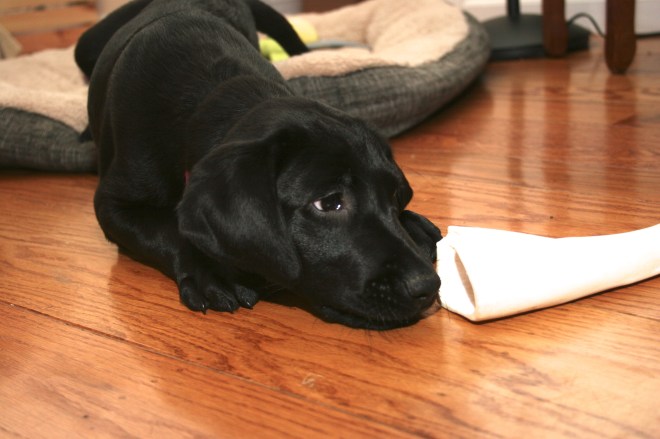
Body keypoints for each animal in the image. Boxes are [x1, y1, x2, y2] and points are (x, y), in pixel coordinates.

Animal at [75, 0, 442, 330]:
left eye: (395, 196)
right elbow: (168, 229)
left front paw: (411, 223)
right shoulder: (111, 204)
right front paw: (211, 271)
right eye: (329, 203)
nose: (428, 286)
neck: (211, 97)